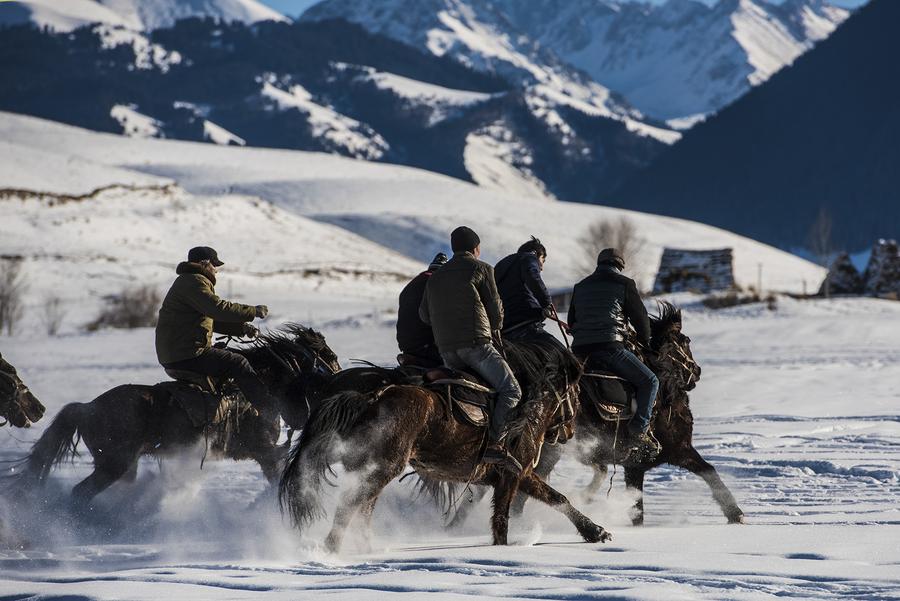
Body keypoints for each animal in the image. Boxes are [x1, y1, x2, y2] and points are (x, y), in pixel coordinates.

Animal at [7, 324, 340, 506]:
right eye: (330, 356)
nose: (339, 380)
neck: (262, 386)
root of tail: (87, 407)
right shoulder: (266, 452)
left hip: (123, 466)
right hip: (113, 465)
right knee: (81, 493)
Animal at [276, 336, 612, 552]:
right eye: (576, 392)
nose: (567, 432)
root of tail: (372, 396)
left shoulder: (520, 474)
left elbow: (558, 498)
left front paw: (595, 532)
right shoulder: (511, 474)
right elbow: (502, 519)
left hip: (367, 467)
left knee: (363, 507)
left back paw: (365, 549)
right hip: (381, 468)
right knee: (351, 505)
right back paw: (333, 550)